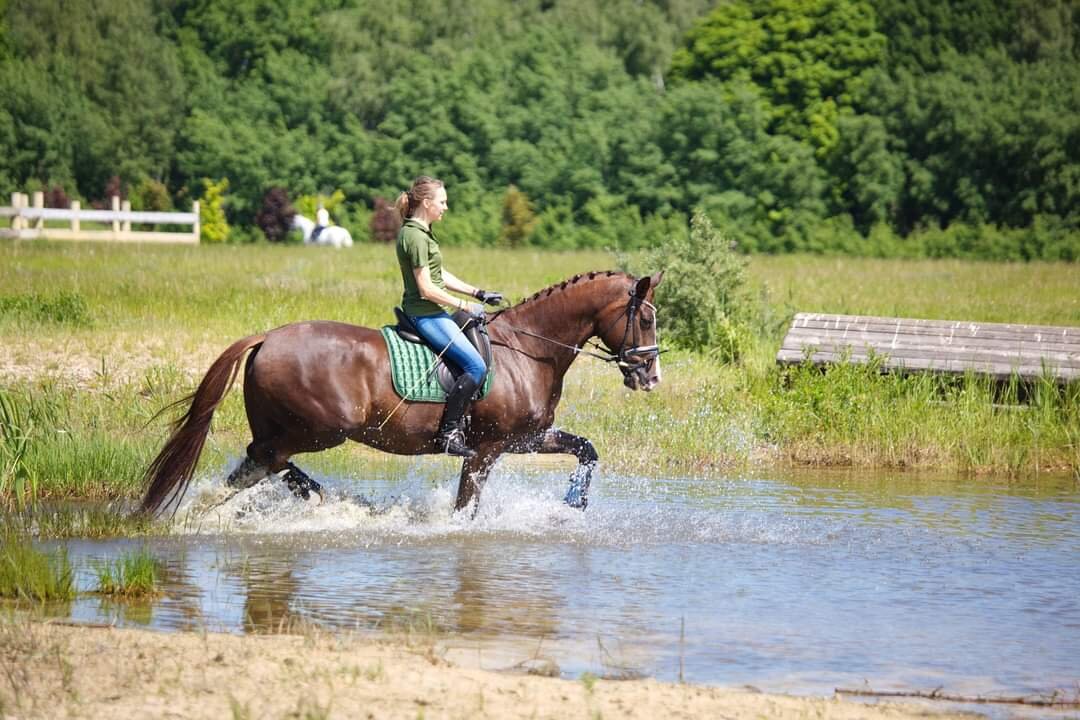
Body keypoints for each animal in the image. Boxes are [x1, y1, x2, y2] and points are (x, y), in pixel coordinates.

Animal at [139, 272, 660, 518]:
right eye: (646, 318)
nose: (651, 376)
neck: (528, 349)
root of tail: (266, 337)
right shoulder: (486, 449)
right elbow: (465, 508)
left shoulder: (525, 439)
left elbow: (586, 449)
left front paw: (574, 501)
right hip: (323, 429)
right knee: (266, 460)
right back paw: (317, 498)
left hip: (290, 428)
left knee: (257, 464)